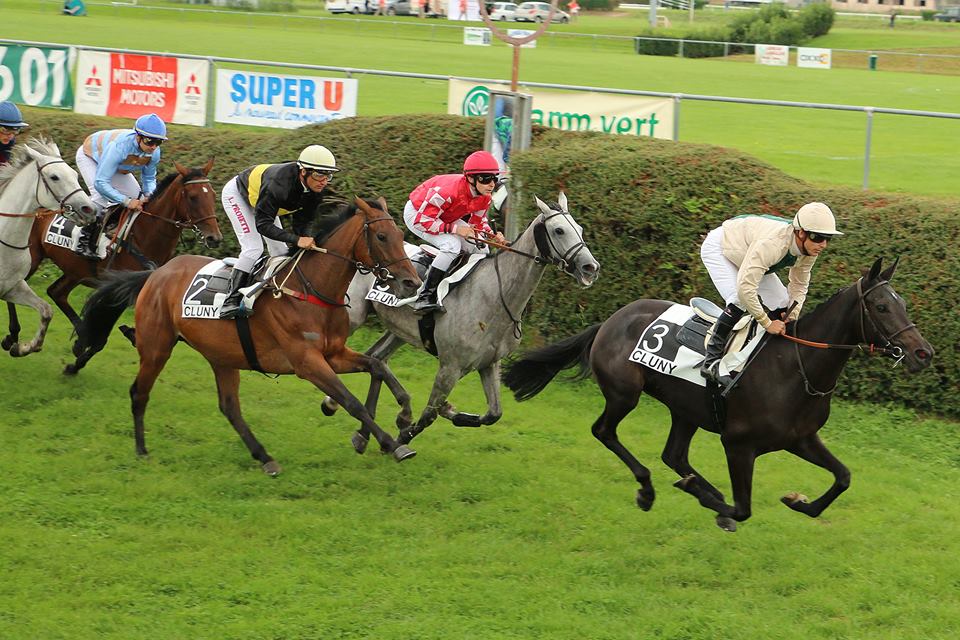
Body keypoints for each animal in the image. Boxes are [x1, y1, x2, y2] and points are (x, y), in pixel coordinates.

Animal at [0, 138, 96, 358]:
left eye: (75, 175)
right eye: (54, 177)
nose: (89, 209)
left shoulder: (12, 287)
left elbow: (46, 311)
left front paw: (23, 347)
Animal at [3, 158, 223, 372]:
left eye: (212, 195)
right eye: (193, 197)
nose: (215, 238)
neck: (143, 235)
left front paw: (79, 356)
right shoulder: (116, 291)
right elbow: (101, 337)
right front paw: (77, 359)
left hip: (76, 271)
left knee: (56, 292)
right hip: (32, 257)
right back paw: (13, 335)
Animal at [73, 199, 418, 476]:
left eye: (401, 236)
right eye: (382, 236)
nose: (411, 282)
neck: (311, 289)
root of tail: (156, 273)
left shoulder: (334, 353)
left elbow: (376, 366)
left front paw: (396, 420)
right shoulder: (307, 363)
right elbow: (352, 402)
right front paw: (392, 443)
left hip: (223, 357)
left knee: (229, 407)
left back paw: (265, 457)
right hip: (157, 346)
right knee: (139, 393)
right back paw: (142, 450)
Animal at [322, 192, 600, 452]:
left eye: (579, 229)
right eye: (559, 230)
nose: (590, 267)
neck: (494, 295)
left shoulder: (489, 364)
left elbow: (493, 414)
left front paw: (447, 410)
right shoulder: (451, 367)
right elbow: (429, 413)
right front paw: (404, 434)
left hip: (399, 331)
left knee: (376, 358)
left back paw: (350, 422)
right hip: (354, 317)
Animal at [506, 258, 932, 532]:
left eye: (902, 303)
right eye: (881, 306)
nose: (922, 353)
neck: (797, 367)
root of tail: (611, 319)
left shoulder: (800, 439)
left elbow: (843, 477)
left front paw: (799, 501)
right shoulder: (738, 445)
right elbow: (743, 509)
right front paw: (716, 505)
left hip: (685, 409)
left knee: (674, 455)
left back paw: (694, 484)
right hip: (624, 394)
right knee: (605, 432)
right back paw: (651, 489)